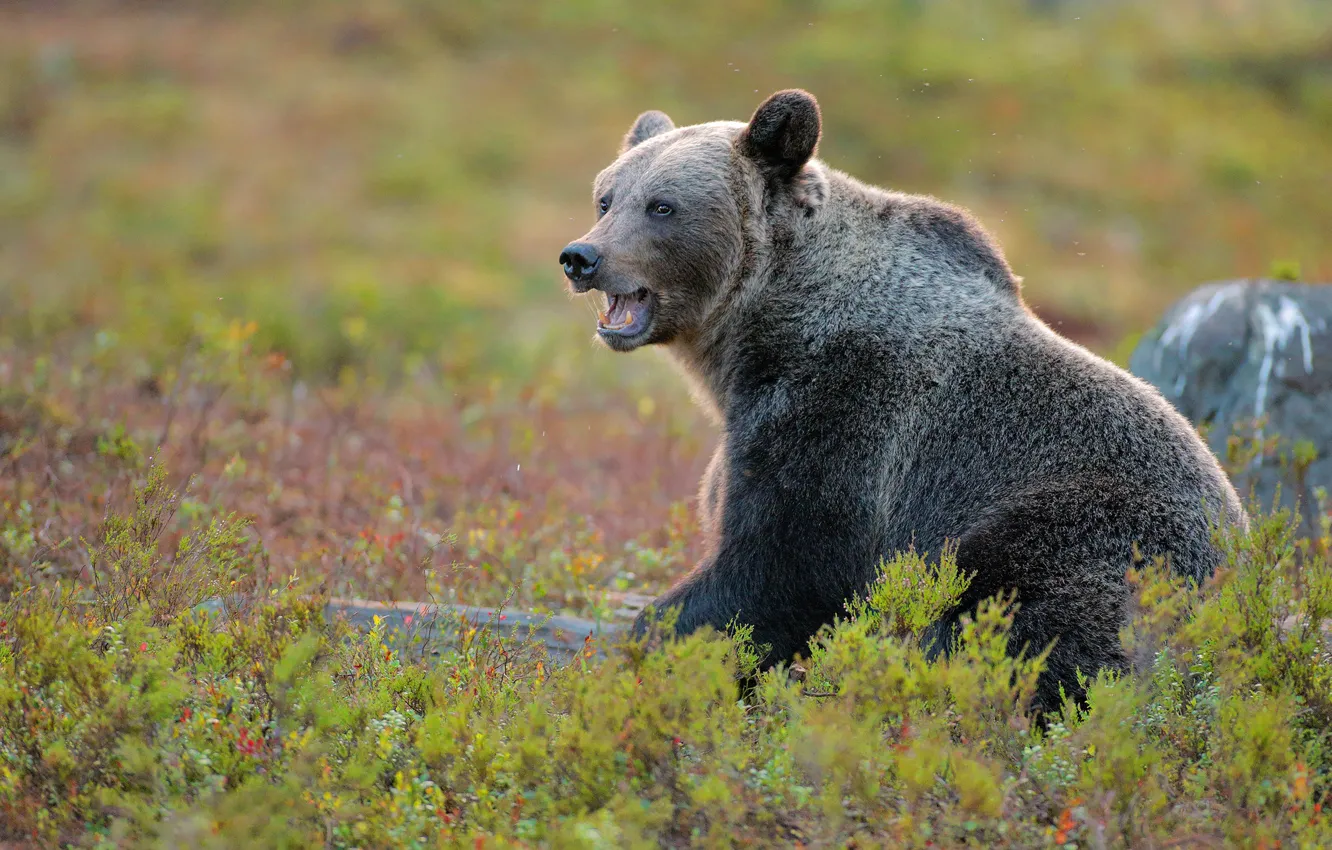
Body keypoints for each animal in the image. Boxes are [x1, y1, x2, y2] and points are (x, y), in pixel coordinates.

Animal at [557, 89, 1247, 712]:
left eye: (662, 205)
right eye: (606, 196)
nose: (582, 256)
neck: (760, 334)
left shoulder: (844, 409)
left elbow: (786, 561)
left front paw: (659, 651)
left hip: (1094, 534)